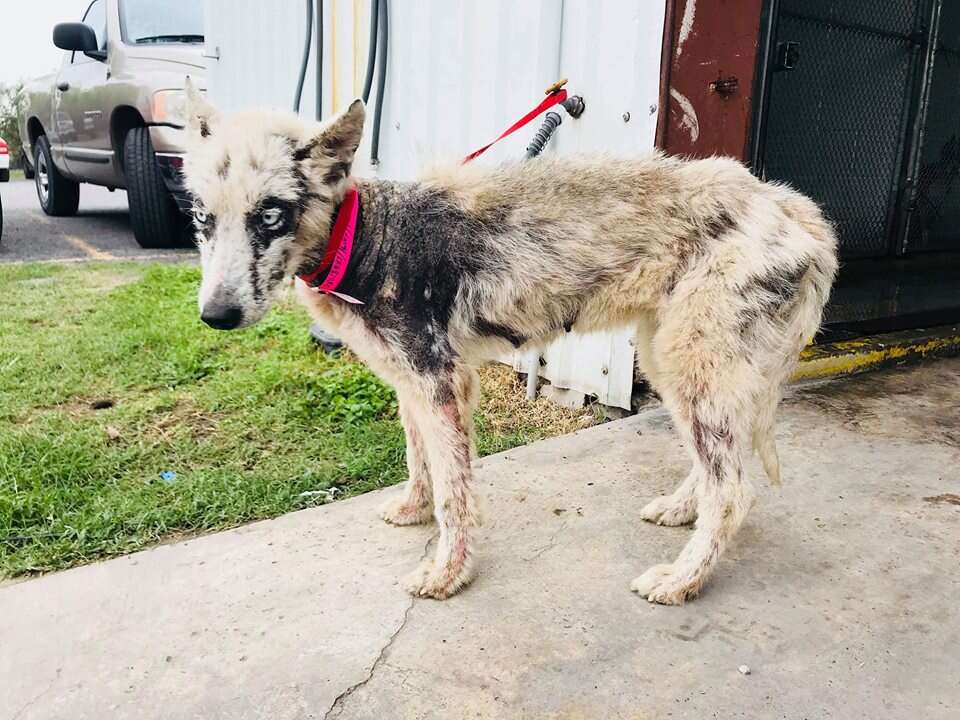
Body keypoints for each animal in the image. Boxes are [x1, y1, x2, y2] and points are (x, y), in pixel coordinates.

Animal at [182, 86, 840, 608]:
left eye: (272, 214)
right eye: (201, 216)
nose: (214, 317)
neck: (369, 235)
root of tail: (792, 209)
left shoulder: (440, 385)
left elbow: (455, 496)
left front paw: (446, 574)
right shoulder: (412, 384)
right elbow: (419, 462)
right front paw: (413, 508)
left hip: (694, 366)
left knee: (732, 492)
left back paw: (682, 580)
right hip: (680, 365)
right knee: (717, 470)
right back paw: (683, 511)